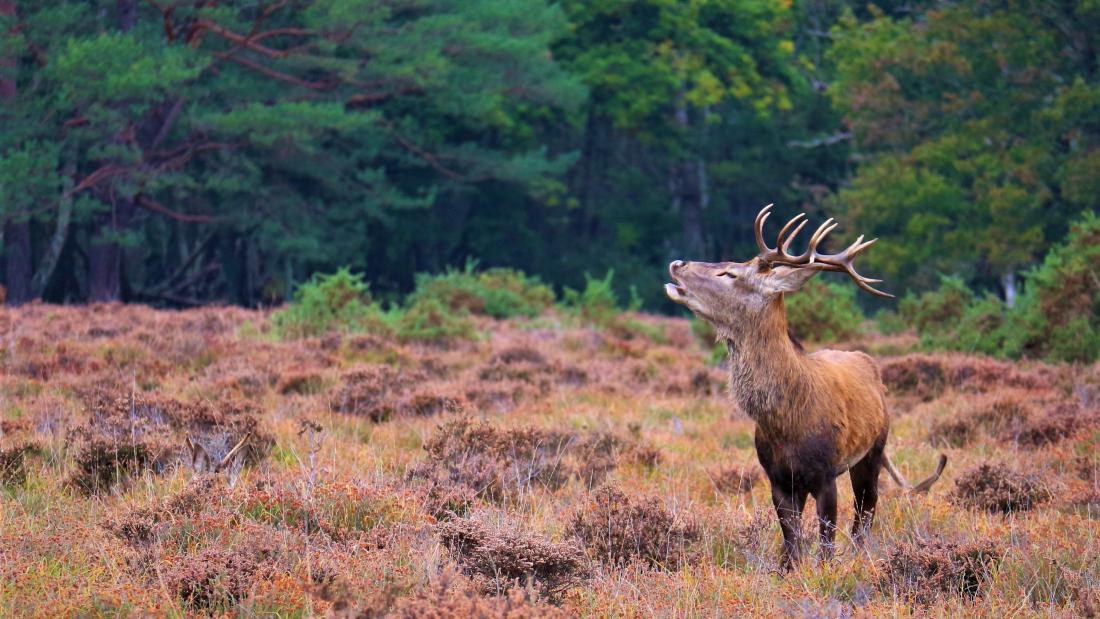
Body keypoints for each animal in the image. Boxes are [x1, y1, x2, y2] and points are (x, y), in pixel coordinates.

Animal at [665, 204, 946, 570]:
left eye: (729, 273)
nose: (677, 263)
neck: (787, 424)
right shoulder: (778, 477)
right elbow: (792, 540)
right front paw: (789, 570)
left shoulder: (825, 474)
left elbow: (826, 540)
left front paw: (826, 572)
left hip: (874, 448)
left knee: (866, 510)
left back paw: (860, 555)